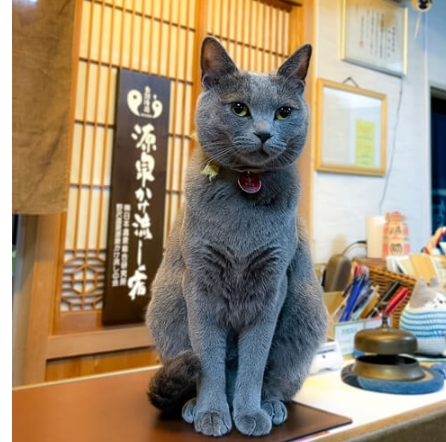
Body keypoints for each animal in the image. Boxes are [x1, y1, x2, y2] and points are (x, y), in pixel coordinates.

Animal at [146, 36, 328, 436]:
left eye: (284, 112)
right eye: (239, 109)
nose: (263, 132)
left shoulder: (273, 286)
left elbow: (255, 361)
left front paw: (249, 413)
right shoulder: (199, 286)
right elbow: (209, 360)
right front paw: (213, 413)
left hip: (306, 308)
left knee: (274, 377)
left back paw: (269, 406)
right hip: (165, 304)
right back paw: (194, 406)